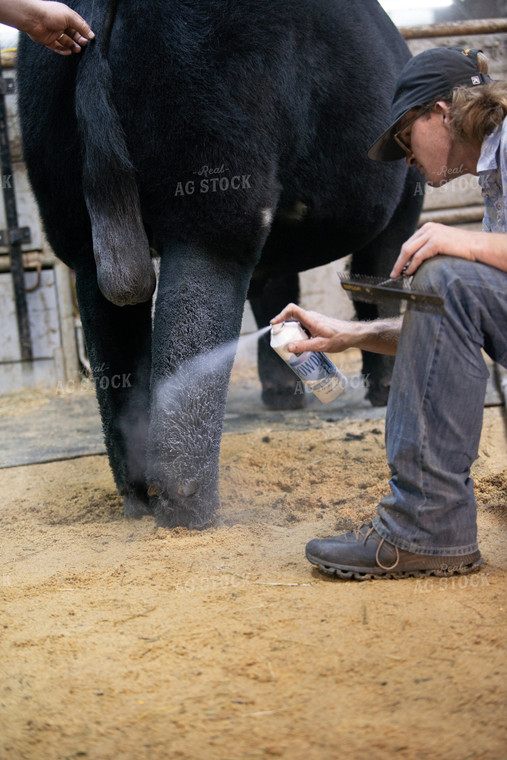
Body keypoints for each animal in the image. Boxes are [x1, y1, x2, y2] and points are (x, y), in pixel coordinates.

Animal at [16, 0, 420, 528]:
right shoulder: (405, 199)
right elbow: (377, 283)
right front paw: (383, 391)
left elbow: (275, 293)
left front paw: (282, 396)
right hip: (214, 167)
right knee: (191, 326)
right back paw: (192, 510)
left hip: (68, 204)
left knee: (113, 337)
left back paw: (138, 499)